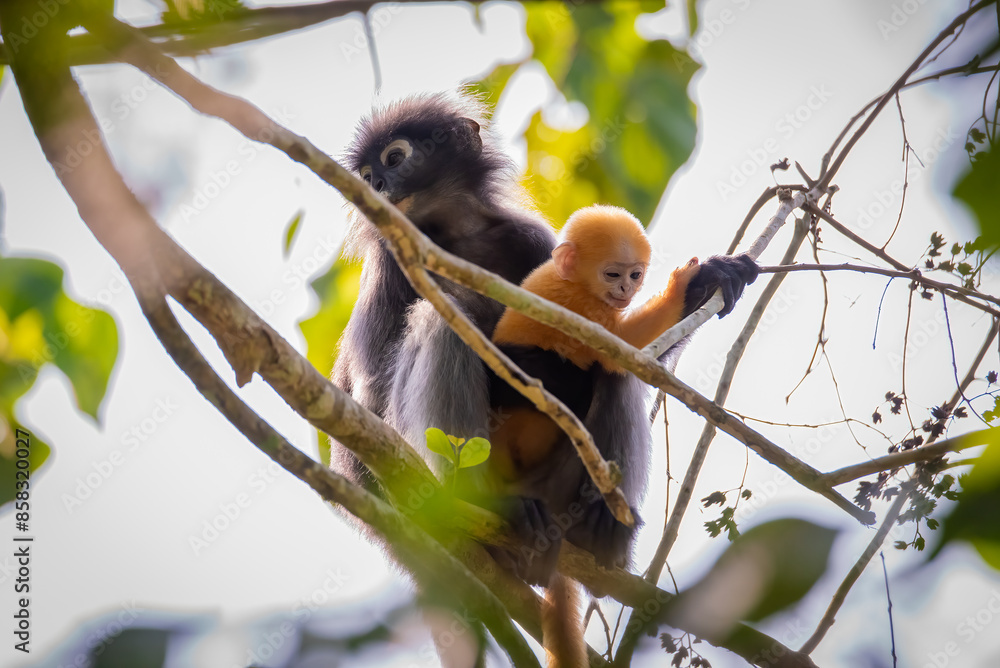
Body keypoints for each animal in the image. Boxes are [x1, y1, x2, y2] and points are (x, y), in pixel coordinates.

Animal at [329, 92, 759, 666]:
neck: (452, 234)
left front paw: (702, 283)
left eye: (393, 159)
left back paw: (603, 528)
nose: (375, 185)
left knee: (612, 371)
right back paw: (491, 508)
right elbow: (372, 396)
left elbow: (624, 353)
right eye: (367, 172)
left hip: (557, 487)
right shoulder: (389, 257)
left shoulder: (527, 239)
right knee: (440, 322)